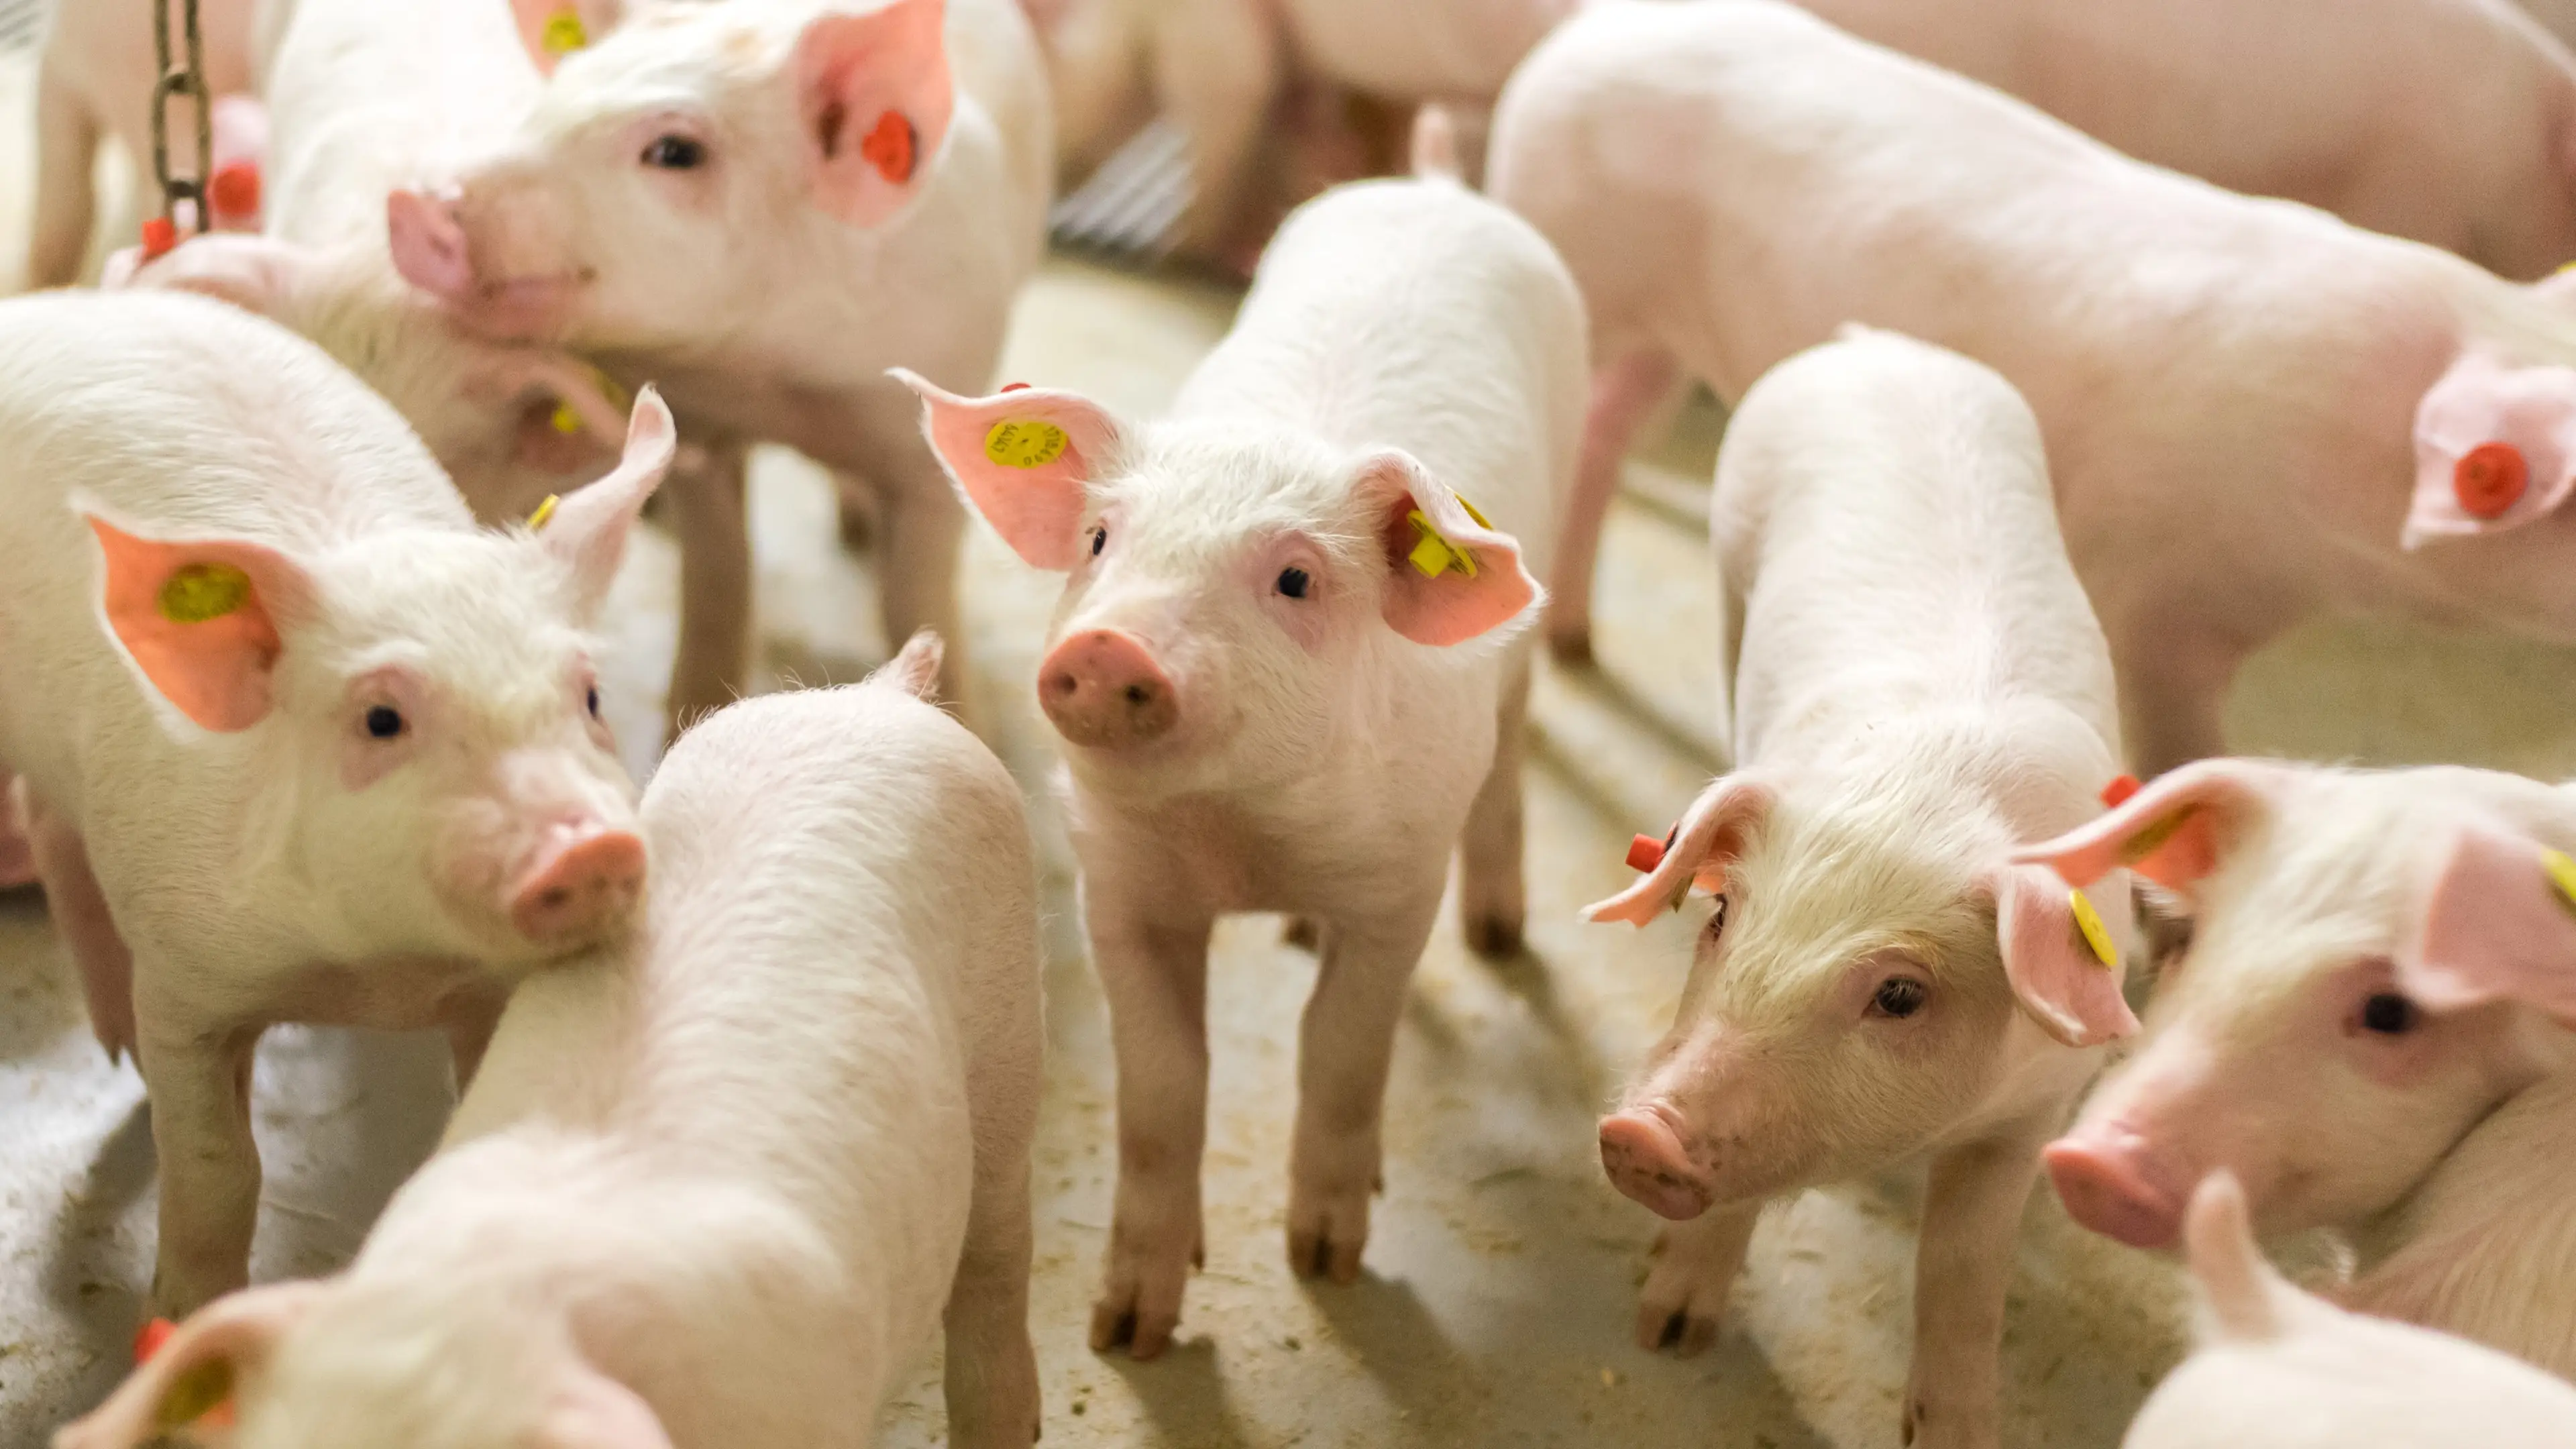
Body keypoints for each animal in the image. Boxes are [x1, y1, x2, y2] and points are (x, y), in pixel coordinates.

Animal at [0, 288, 671, 1317]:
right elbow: (217, 1163)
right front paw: (180, 1320)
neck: (373, 971)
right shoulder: (182, 970)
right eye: (381, 718)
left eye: (590, 697)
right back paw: (117, 1052)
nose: (587, 847)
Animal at [386, 0, 1056, 717]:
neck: (775, 381)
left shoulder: (933, 434)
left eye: (675, 152)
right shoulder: (698, 427)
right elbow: (718, 569)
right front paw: (689, 715)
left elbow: (917, 592)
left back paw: (856, 531)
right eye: (548, 103)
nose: (410, 202)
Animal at [896, 136, 1582, 1357]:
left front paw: (1328, 1265)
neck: (1242, 839)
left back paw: (1501, 936)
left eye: (1296, 579)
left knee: (1507, 759)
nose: (1109, 644)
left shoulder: (1398, 883)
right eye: (1099, 540)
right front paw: (1126, 1332)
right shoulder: (1120, 892)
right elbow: (1165, 1090)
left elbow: (1342, 1050)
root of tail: (1435, 189)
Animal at [1583, 331, 2140, 1449]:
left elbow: (1965, 1268)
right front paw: (1668, 1336)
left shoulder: (2035, 1106)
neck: (1920, 791)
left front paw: (1959, 1435)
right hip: (1731, 560)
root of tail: (1874, 344)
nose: (1638, 1134)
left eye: (1899, 994)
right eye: (1721, 915)